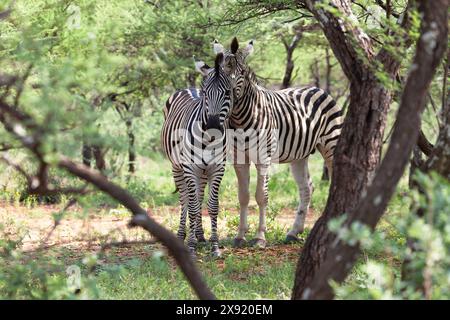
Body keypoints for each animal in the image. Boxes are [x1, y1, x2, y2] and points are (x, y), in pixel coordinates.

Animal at [160, 52, 234, 258]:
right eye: (206, 93)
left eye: (228, 93)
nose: (213, 126)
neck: (208, 140)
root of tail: (189, 88)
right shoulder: (189, 168)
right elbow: (192, 207)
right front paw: (191, 247)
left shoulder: (217, 168)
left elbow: (213, 205)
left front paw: (215, 246)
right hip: (177, 167)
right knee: (185, 198)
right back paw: (182, 235)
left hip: (202, 171)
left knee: (199, 197)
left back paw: (200, 234)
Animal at [213, 38, 342, 248]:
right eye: (221, 72)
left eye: (242, 73)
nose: (228, 97)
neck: (240, 119)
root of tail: (317, 88)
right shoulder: (239, 159)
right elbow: (243, 196)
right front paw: (240, 236)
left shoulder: (263, 158)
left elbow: (261, 196)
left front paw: (259, 237)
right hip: (300, 155)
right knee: (307, 188)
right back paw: (294, 232)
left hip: (331, 143)